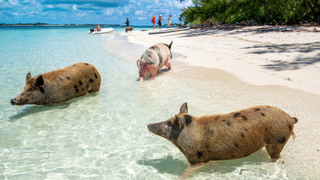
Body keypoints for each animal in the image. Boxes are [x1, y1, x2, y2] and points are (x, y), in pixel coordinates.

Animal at [148, 102, 298, 166]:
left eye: (169, 124)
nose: (148, 125)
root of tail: (290, 118)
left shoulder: (197, 158)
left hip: (277, 140)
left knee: (276, 156)